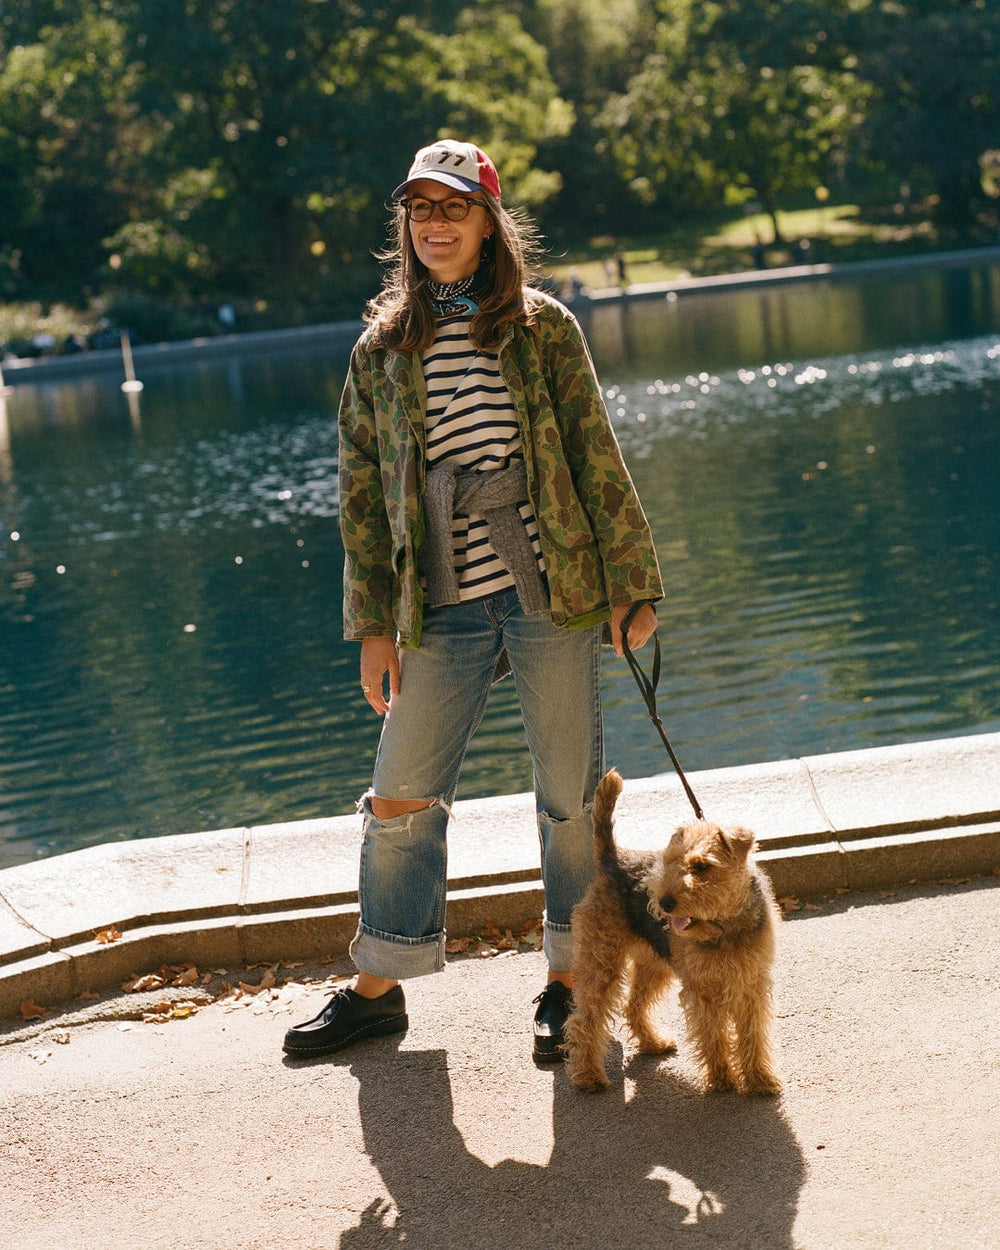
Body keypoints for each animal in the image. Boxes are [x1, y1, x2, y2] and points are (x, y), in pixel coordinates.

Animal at [565, 768, 781, 1095]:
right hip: (601, 961)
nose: (664, 903)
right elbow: (713, 1035)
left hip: (653, 964)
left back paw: (654, 1043)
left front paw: (759, 1079)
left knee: (633, 1005)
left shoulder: (750, 984)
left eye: (702, 866)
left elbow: (751, 1035)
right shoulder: (702, 988)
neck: (724, 928)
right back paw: (589, 1076)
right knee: (584, 1020)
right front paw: (722, 1080)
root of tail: (611, 858)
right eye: (669, 861)